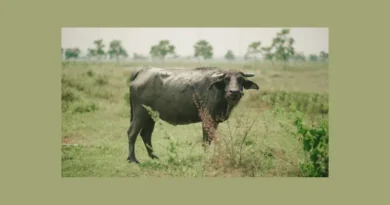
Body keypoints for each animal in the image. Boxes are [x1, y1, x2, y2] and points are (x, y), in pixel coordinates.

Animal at [126, 65, 258, 163]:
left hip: (150, 116)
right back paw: (132, 159)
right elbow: (206, 140)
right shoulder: (207, 119)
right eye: (226, 79)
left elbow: (210, 138)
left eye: (240, 79)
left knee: (146, 134)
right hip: (140, 112)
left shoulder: (215, 121)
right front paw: (206, 157)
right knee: (132, 133)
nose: (234, 92)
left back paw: (154, 156)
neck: (218, 91)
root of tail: (142, 71)